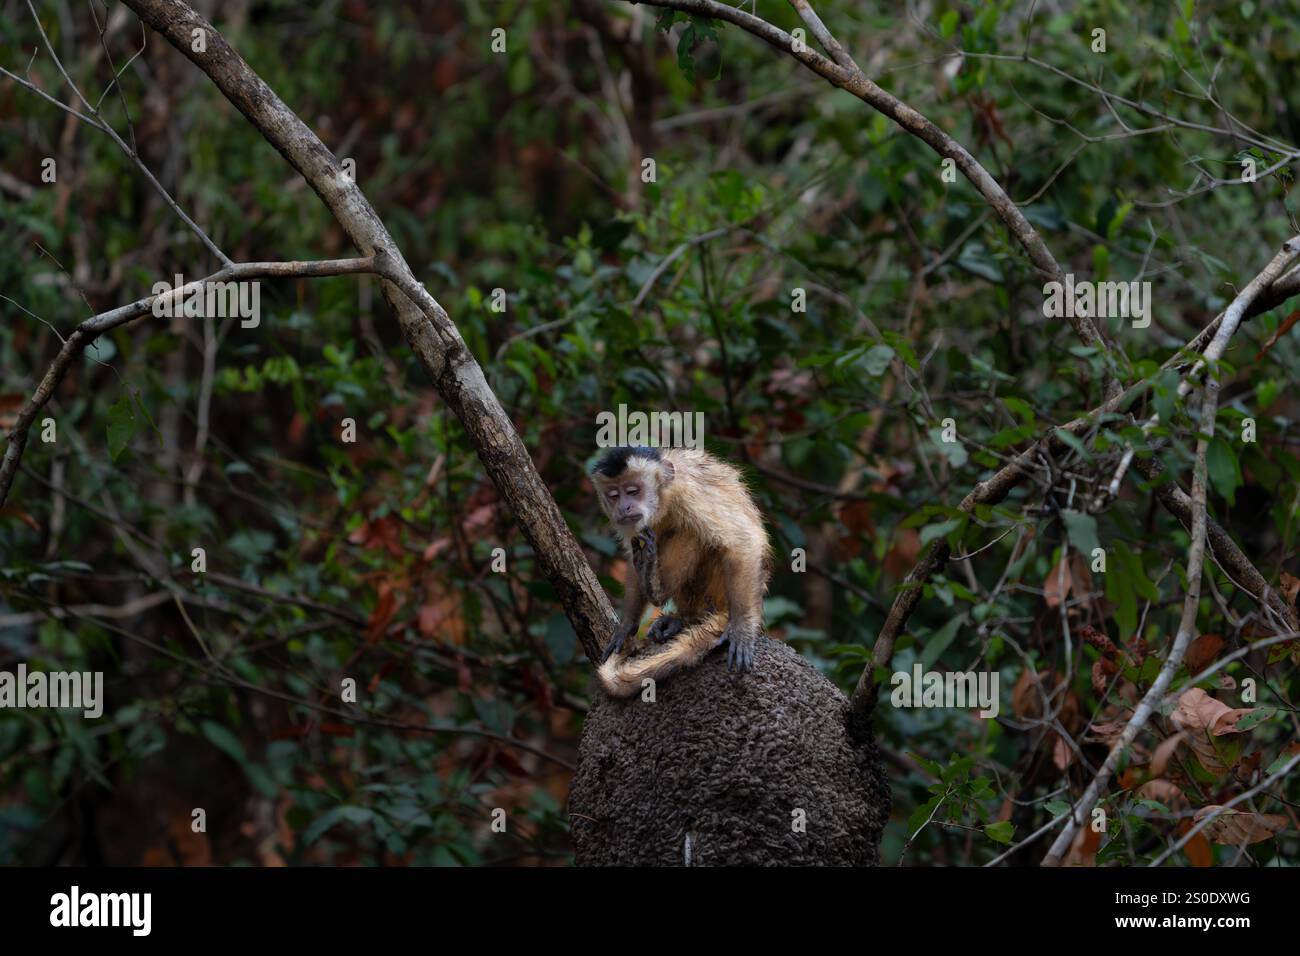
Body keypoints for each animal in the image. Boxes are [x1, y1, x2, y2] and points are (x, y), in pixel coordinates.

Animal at [591, 445, 772, 697]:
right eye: (614, 495)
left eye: (632, 491)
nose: (623, 507)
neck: (665, 498)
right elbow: (631, 550)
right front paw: (627, 625)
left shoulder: (692, 493)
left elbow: (743, 541)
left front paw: (743, 628)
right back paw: (672, 605)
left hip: (718, 592)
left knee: (691, 532)